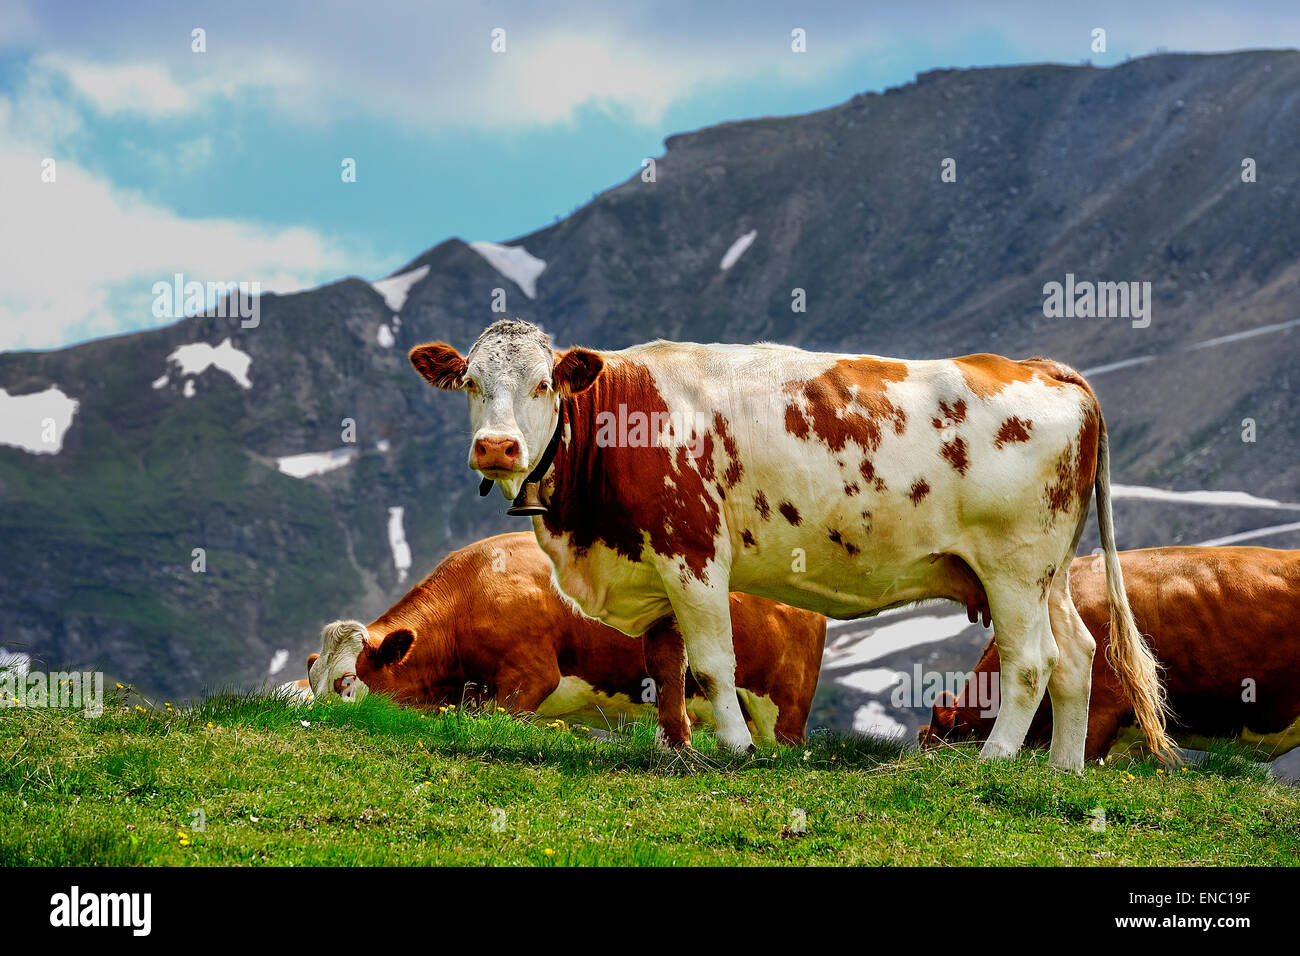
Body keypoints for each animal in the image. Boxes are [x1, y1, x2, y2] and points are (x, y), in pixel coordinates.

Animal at [408, 321, 1180, 770]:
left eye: (544, 384)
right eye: (470, 381)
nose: (497, 447)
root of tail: (1039, 365)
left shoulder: (693, 551)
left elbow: (711, 665)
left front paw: (737, 749)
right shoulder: (654, 567)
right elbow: (665, 665)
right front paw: (674, 748)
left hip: (1014, 570)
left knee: (1031, 663)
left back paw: (993, 761)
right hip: (1050, 573)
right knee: (1077, 655)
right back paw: (1060, 771)